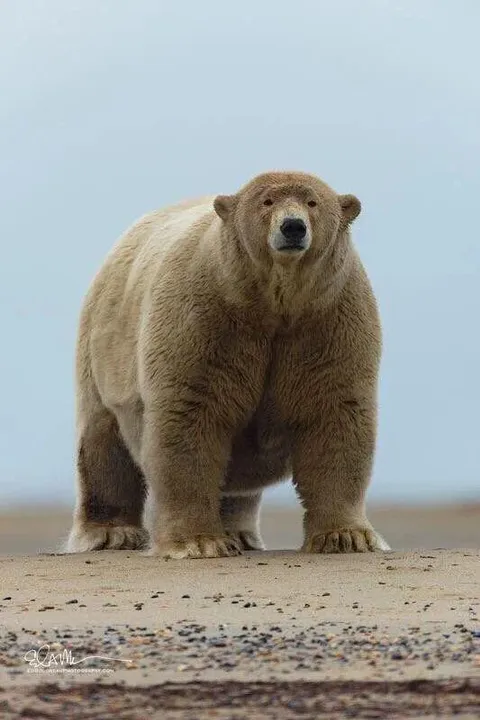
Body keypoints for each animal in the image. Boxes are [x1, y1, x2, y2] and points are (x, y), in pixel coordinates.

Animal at [67, 170, 390, 558]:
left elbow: (334, 414)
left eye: (313, 202)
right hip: (103, 350)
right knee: (103, 441)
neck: (273, 305)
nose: (293, 227)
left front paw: (347, 537)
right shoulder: (205, 317)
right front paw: (198, 542)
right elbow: (191, 415)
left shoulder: (328, 319)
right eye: (266, 201)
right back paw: (112, 533)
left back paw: (240, 533)